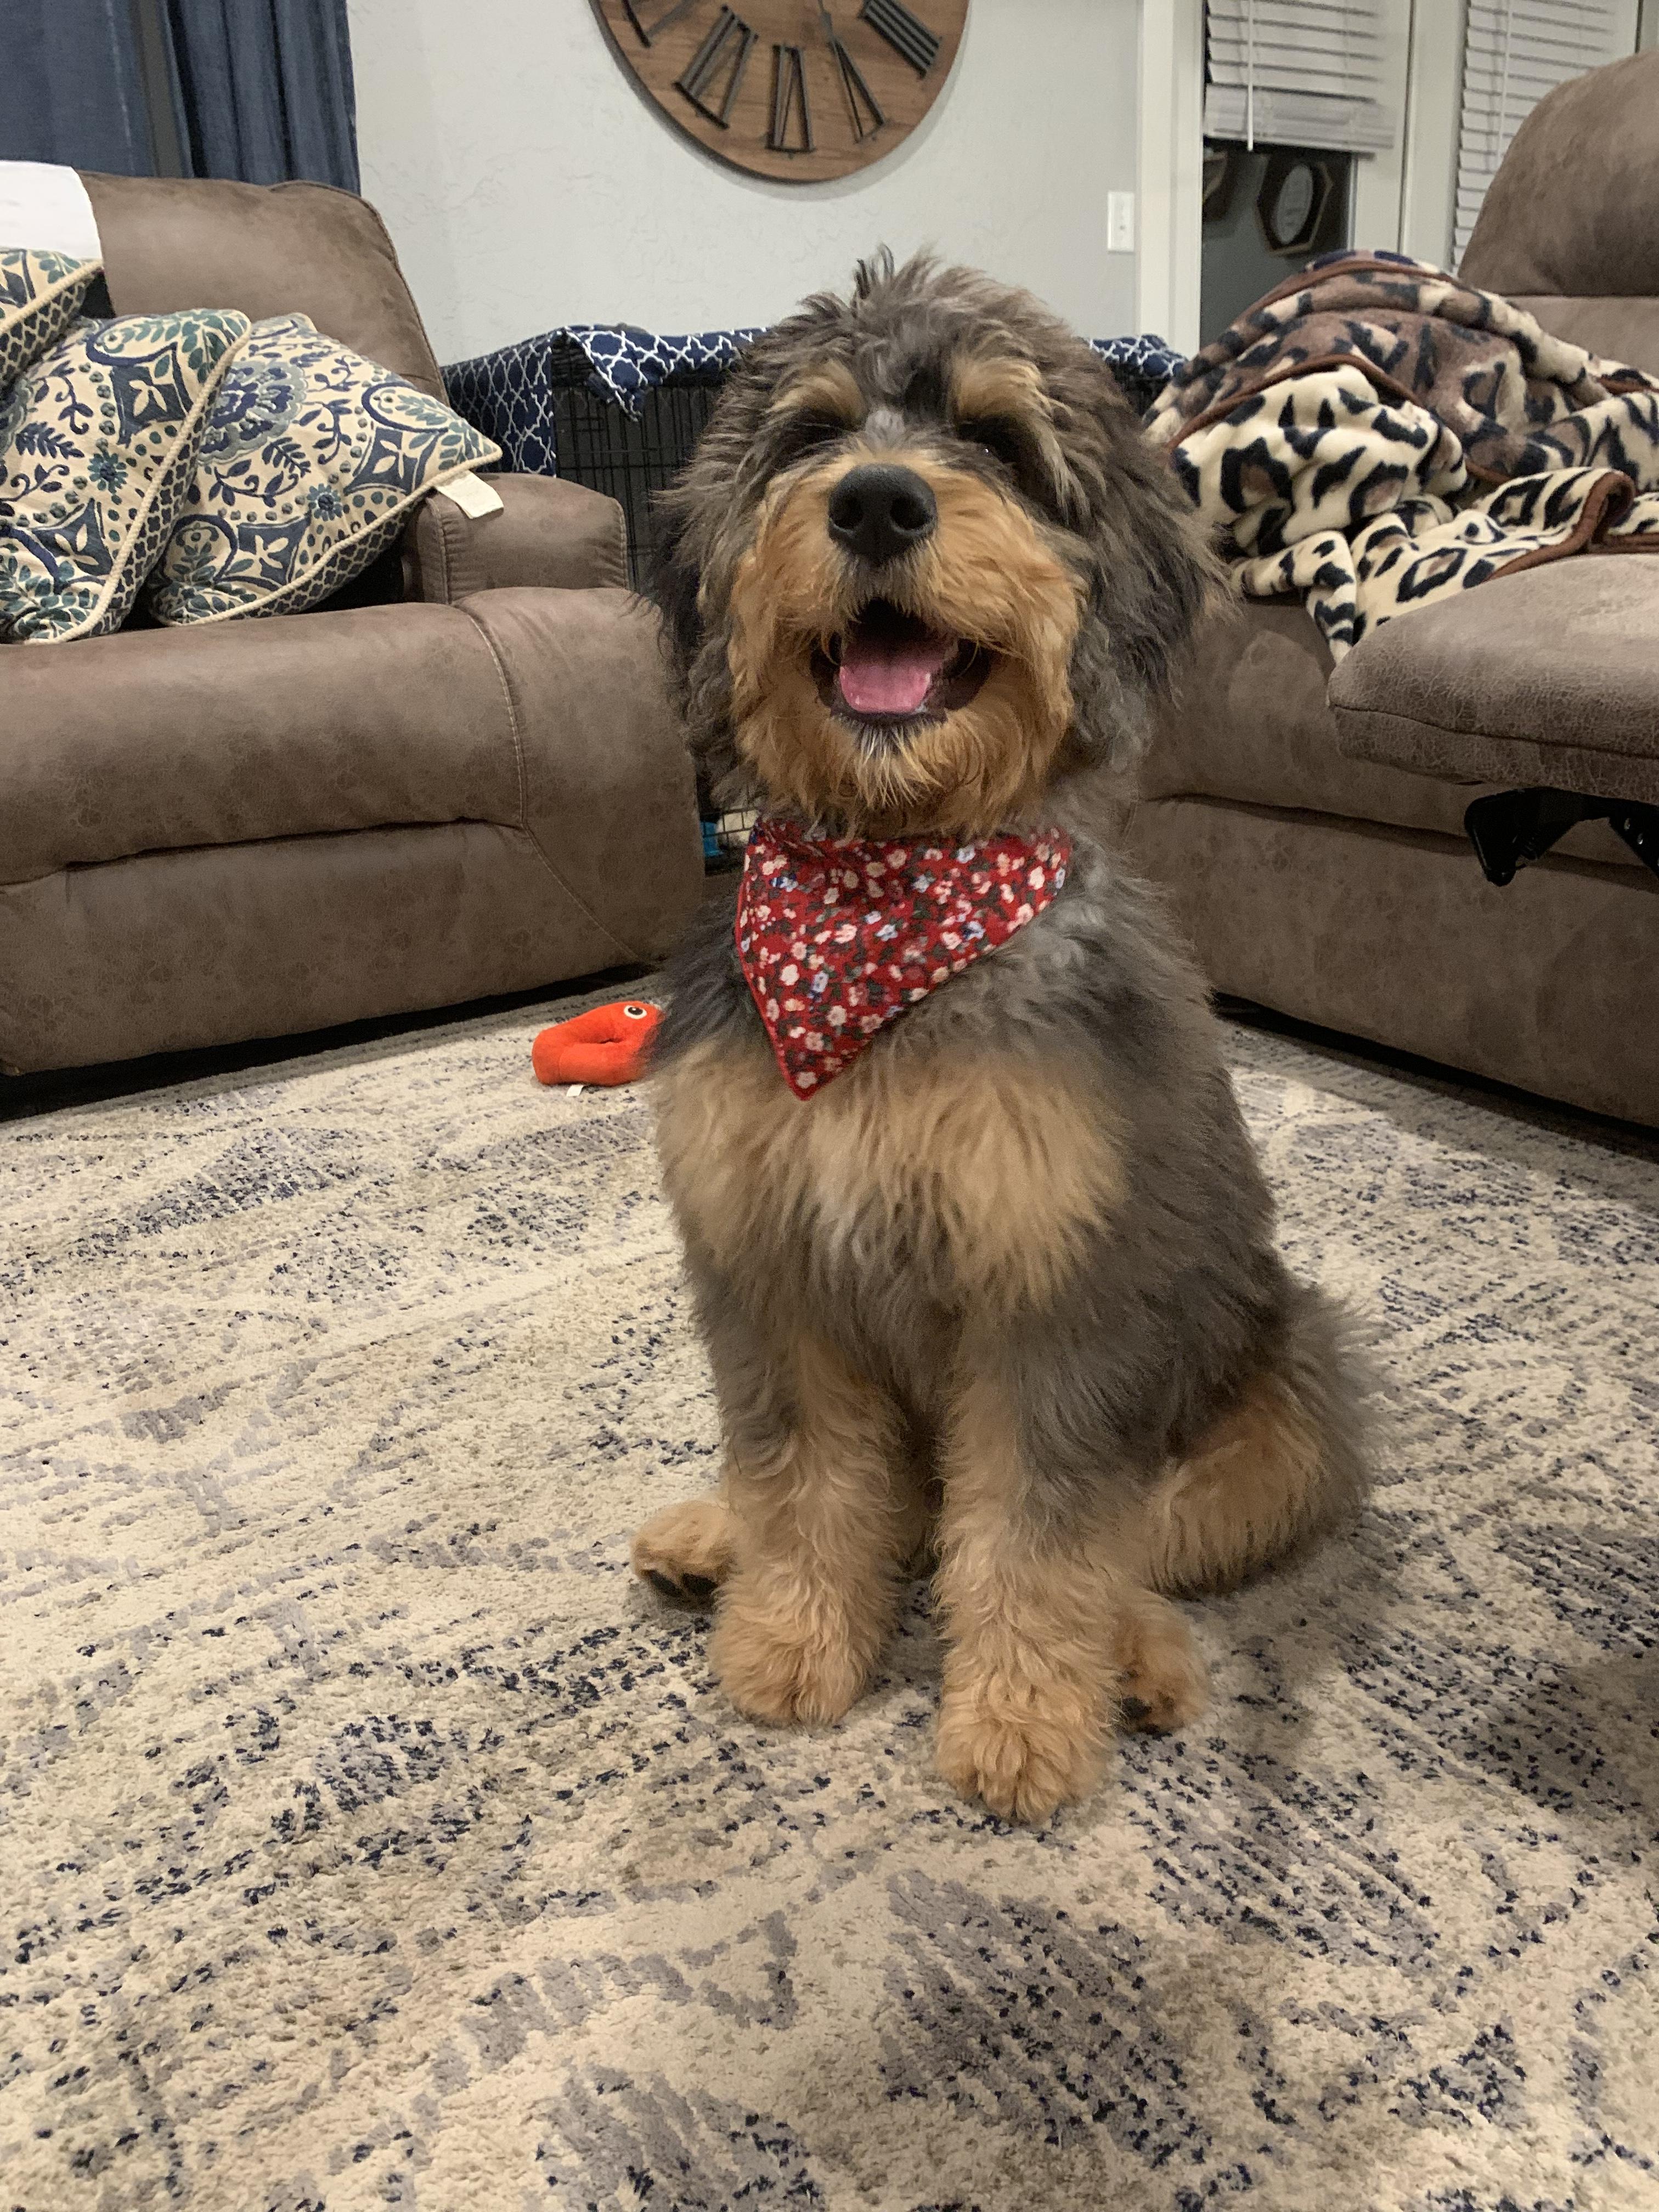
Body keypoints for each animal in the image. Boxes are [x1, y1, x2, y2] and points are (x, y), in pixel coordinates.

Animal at [629, 252, 1367, 1824]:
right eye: (810, 434)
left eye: (1000, 443)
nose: (876, 502)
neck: (890, 902)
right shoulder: (770, 1270)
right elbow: (806, 1483)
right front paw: (791, 1640)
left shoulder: (1055, 1300)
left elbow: (1037, 1535)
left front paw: (1022, 1724)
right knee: (903, 1508)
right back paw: (716, 1540)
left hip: (1289, 1407)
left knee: (1130, 1546)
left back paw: (1134, 1661)